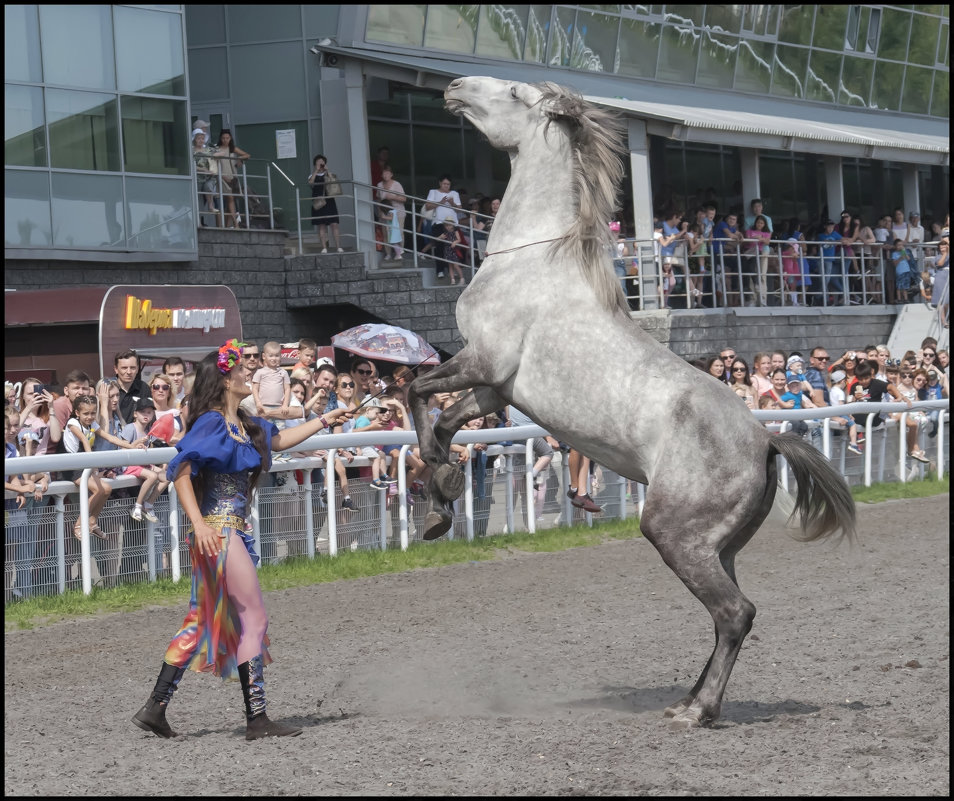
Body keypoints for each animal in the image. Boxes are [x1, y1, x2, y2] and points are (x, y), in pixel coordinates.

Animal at [404, 78, 856, 728]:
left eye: (514, 92)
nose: (455, 87)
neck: (530, 263)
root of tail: (766, 439)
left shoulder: (481, 362)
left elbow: (413, 390)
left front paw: (438, 493)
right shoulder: (494, 386)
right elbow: (442, 421)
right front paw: (441, 499)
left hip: (673, 533)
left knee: (735, 613)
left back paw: (699, 712)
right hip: (718, 547)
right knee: (728, 615)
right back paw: (689, 700)